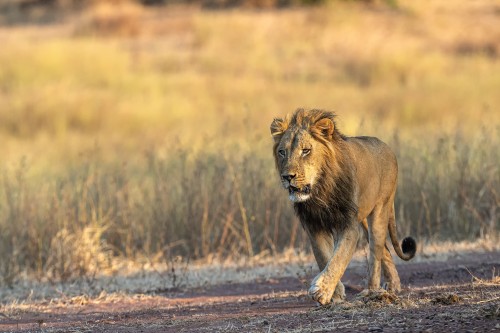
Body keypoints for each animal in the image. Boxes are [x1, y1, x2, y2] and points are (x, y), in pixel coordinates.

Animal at [272, 108, 416, 304]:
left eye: (306, 151)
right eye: (282, 152)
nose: (287, 177)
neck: (321, 189)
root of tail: (387, 147)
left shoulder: (348, 225)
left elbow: (338, 258)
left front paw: (321, 290)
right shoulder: (314, 226)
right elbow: (324, 257)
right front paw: (335, 293)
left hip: (380, 210)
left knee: (375, 254)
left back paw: (372, 292)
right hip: (363, 219)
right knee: (384, 251)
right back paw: (393, 285)